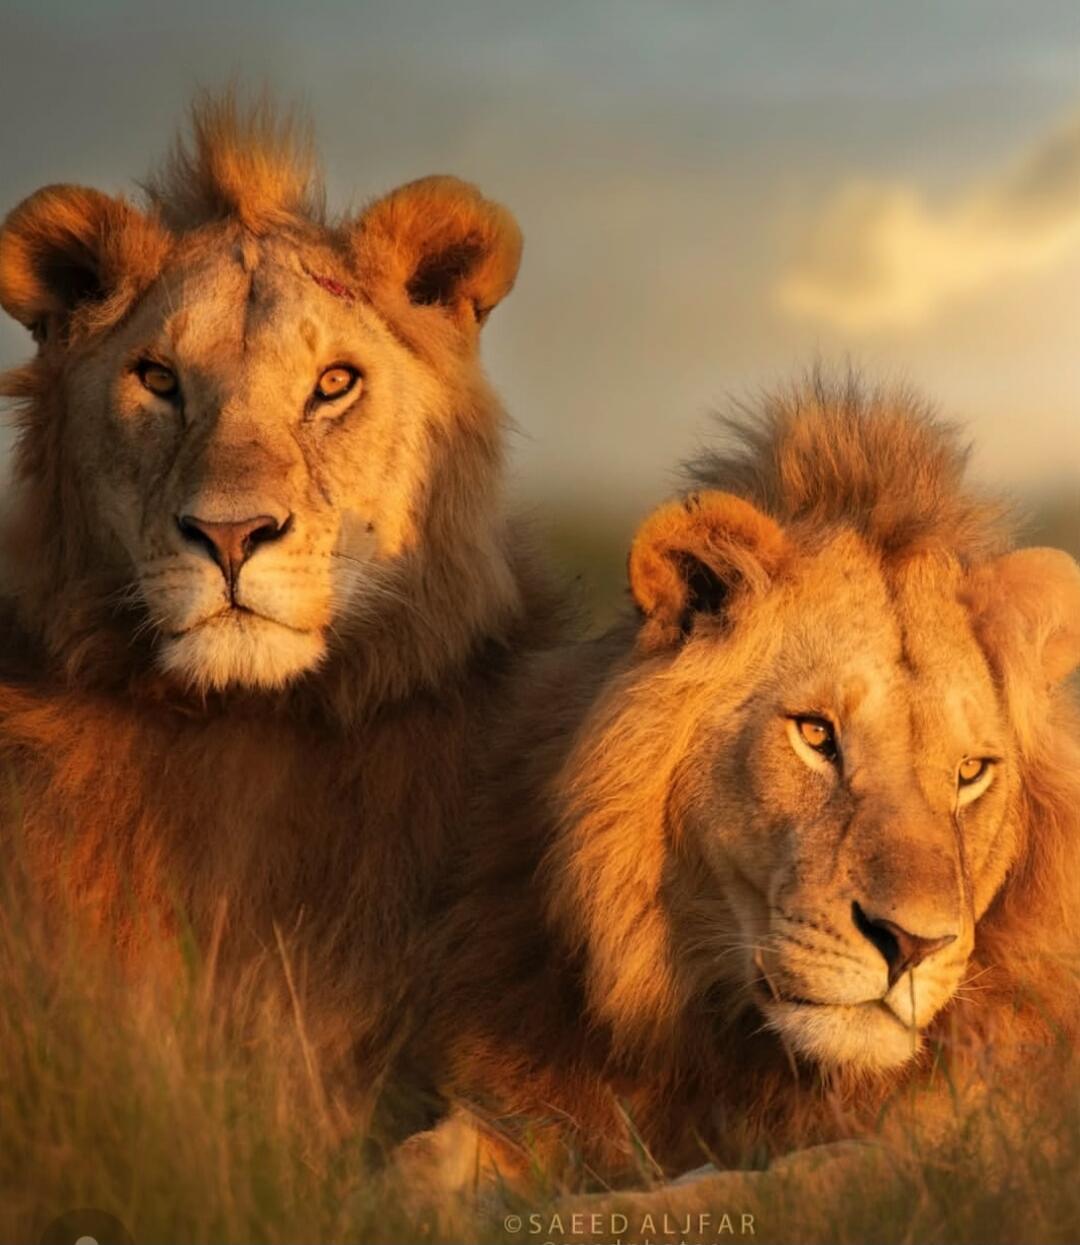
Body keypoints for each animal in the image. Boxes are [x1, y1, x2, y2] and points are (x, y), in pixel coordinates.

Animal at [394, 378, 1080, 1228]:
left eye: (971, 772)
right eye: (816, 734)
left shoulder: (977, 1158)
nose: (912, 945)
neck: (713, 1035)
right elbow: (421, 1156)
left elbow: (737, 1194)